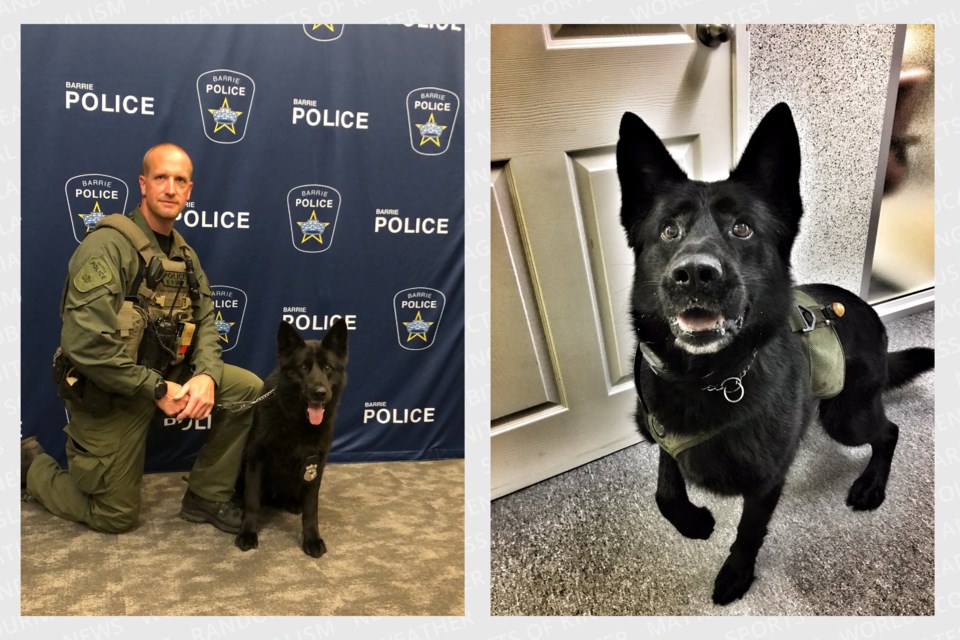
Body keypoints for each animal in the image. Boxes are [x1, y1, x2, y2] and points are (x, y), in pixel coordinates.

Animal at [235, 318, 348, 556]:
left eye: (327, 368)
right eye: (302, 367)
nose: (319, 393)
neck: (296, 422)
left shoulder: (315, 466)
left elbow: (311, 509)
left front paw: (312, 538)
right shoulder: (256, 459)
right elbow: (252, 500)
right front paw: (248, 532)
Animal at [620, 102, 932, 604]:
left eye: (742, 228)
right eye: (669, 230)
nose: (695, 274)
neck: (708, 378)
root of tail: (871, 314)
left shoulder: (766, 481)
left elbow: (749, 531)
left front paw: (737, 573)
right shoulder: (663, 432)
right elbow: (666, 490)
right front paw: (692, 521)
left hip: (845, 416)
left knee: (888, 431)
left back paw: (871, 485)